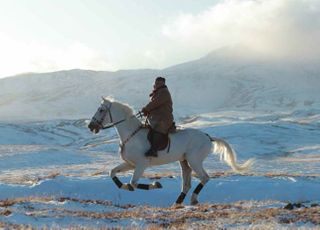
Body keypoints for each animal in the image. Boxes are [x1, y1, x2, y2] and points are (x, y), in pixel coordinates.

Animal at [89, 97, 254, 205]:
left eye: (101, 110)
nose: (91, 126)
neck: (131, 135)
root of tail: (208, 137)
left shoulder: (141, 165)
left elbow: (133, 184)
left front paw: (156, 184)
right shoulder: (130, 164)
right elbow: (113, 174)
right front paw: (125, 186)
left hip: (194, 160)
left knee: (204, 178)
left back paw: (193, 199)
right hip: (184, 162)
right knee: (186, 184)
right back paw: (178, 202)